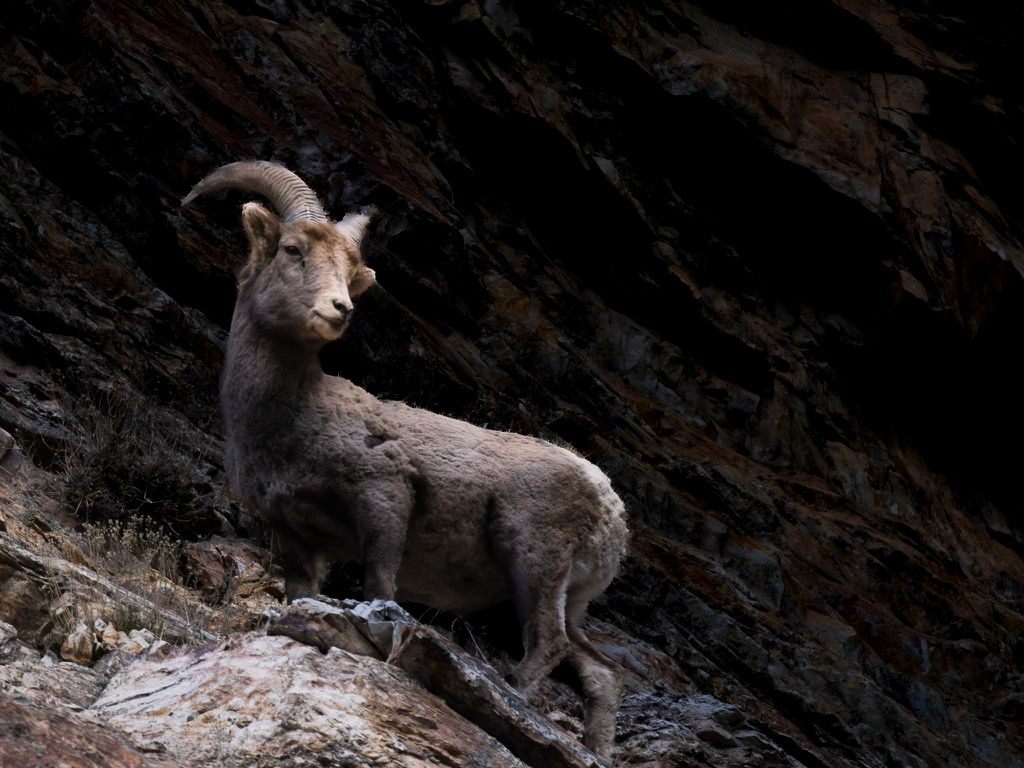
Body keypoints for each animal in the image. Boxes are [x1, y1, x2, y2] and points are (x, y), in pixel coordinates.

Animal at [183, 160, 629, 761]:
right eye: (293, 250)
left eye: (352, 274)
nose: (340, 310)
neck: (294, 415)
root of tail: (611, 506)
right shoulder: (298, 541)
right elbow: (304, 595)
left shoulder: (384, 499)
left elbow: (380, 590)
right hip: (571, 598)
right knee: (601, 673)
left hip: (534, 562)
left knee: (549, 645)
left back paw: (515, 697)